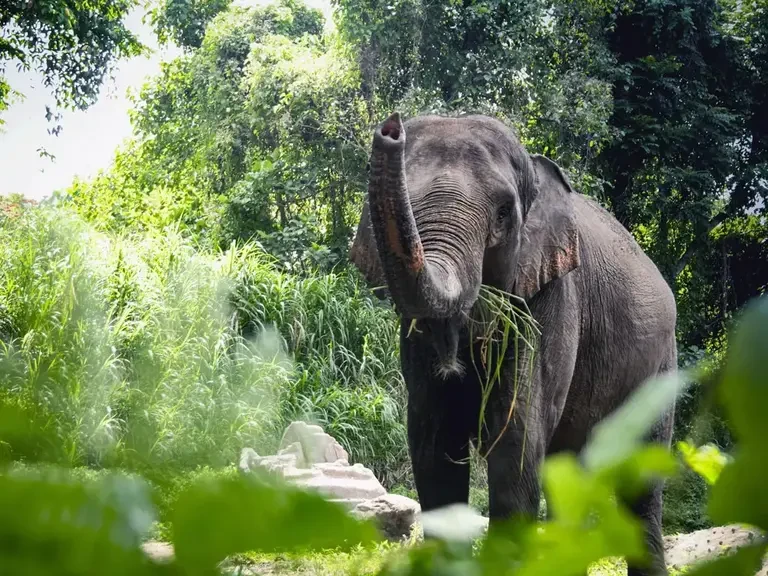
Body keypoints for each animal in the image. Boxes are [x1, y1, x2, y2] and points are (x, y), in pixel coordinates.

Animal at [349, 112, 677, 576]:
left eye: (504, 213)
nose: (390, 129)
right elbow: (433, 446)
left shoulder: (552, 296)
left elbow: (515, 442)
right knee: (567, 467)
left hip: (662, 363)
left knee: (639, 477)